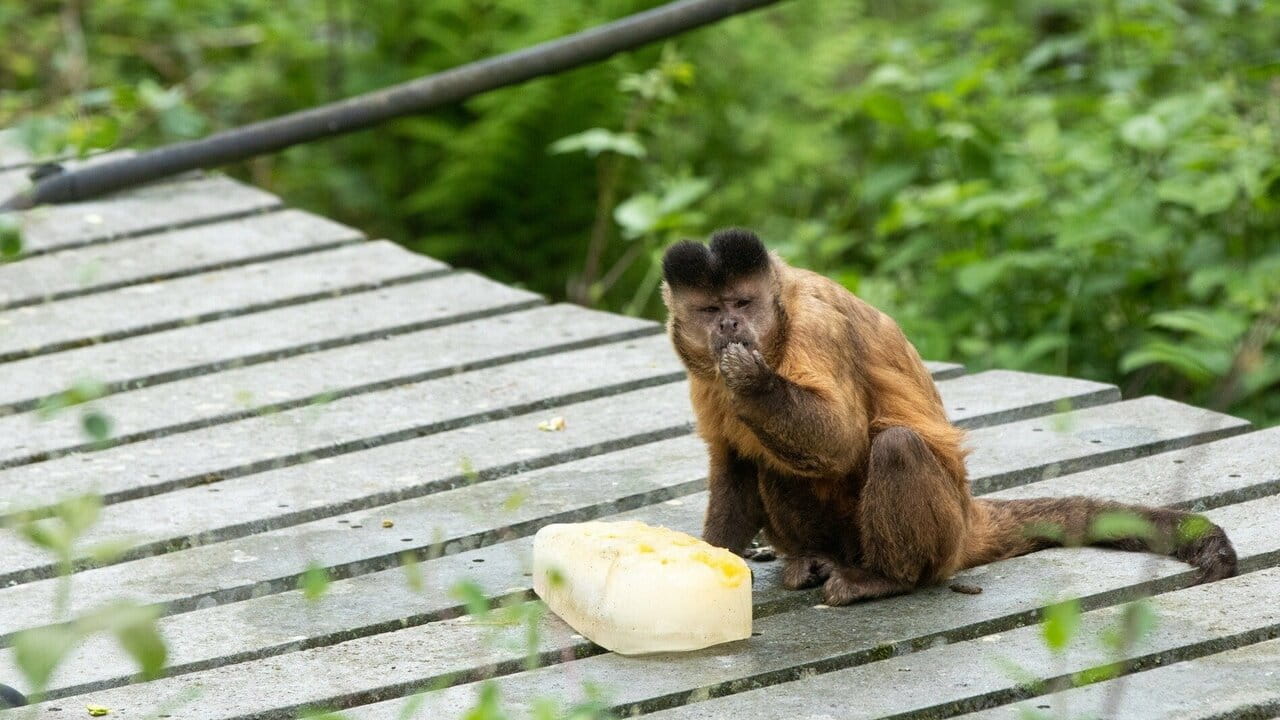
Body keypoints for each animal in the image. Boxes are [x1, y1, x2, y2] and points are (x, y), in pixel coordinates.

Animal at [660, 228, 1237, 606]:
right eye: (711, 310)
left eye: (742, 303)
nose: (730, 326)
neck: (776, 334)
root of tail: (967, 519)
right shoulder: (703, 377)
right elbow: (733, 462)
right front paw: (710, 558)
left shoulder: (815, 328)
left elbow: (842, 439)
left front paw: (754, 383)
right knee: (772, 460)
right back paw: (812, 557)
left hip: (944, 536)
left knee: (896, 448)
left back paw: (888, 577)